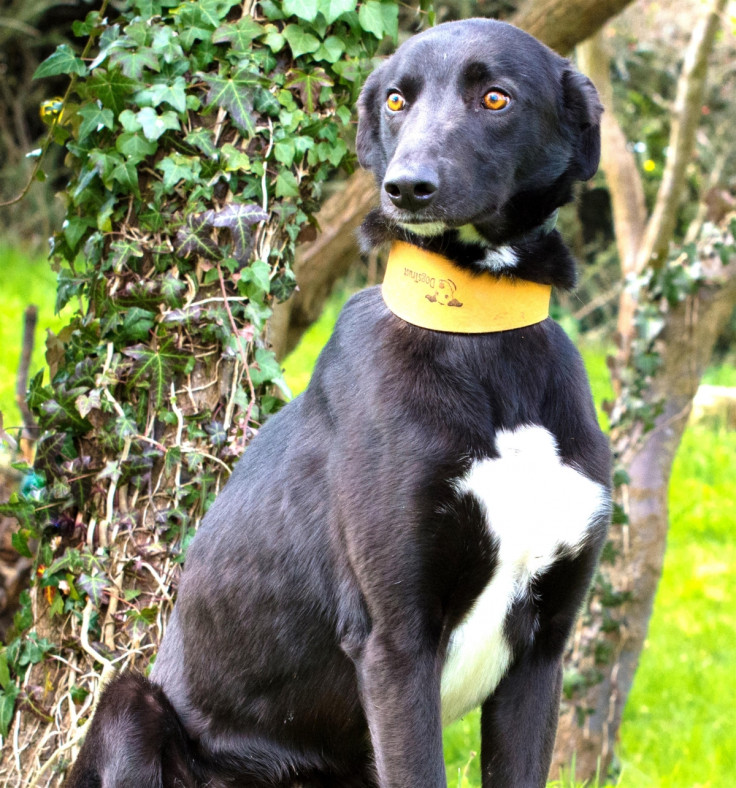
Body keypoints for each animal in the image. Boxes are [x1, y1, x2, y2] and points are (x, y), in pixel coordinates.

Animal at [66, 18, 608, 788]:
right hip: (130, 703)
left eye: (495, 98)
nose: (406, 187)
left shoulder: (542, 650)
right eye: (396, 101)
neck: (478, 332)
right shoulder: (395, 642)